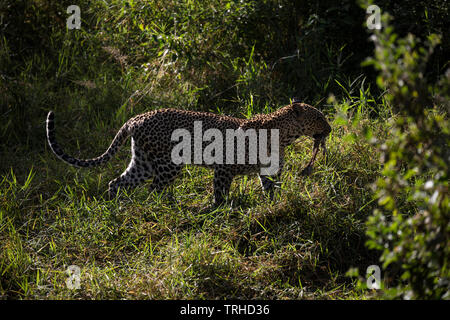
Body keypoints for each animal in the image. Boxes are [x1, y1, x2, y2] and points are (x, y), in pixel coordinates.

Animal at [46, 102, 330, 205]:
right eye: (318, 117)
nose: (329, 128)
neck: (283, 136)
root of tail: (136, 118)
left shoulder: (267, 169)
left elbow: (271, 187)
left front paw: (273, 205)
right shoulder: (224, 167)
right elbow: (220, 192)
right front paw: (218, 209)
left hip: (143, 161)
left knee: (117, 182)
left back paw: (116, 208)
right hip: (167, 164)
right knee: (154, 190)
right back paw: (164, 209)